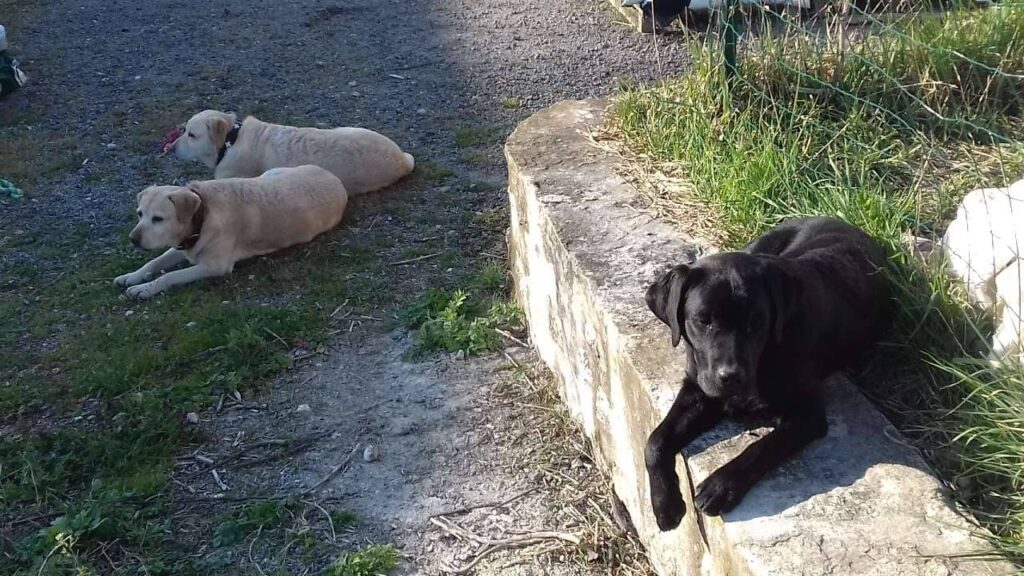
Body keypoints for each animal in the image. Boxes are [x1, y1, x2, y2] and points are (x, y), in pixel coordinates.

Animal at [116, 161, 348, 295]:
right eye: (140, 214)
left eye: (158, 219)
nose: (133, 239)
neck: (203, 213)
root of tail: (336, 179)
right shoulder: (185, 245)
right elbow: (154, 262)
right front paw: (132, 276)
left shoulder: (214, 266)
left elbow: (169, 276)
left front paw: (144, 289)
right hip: (271, 174)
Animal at [643, 215, 884, 528]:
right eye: (702, 320)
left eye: (756, 321)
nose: (731, 377)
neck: (765, 357)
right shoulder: (698, 389)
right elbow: (655, 441)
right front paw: (664, 503)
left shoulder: (807, 415)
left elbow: (763, 447)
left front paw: (721, 485)